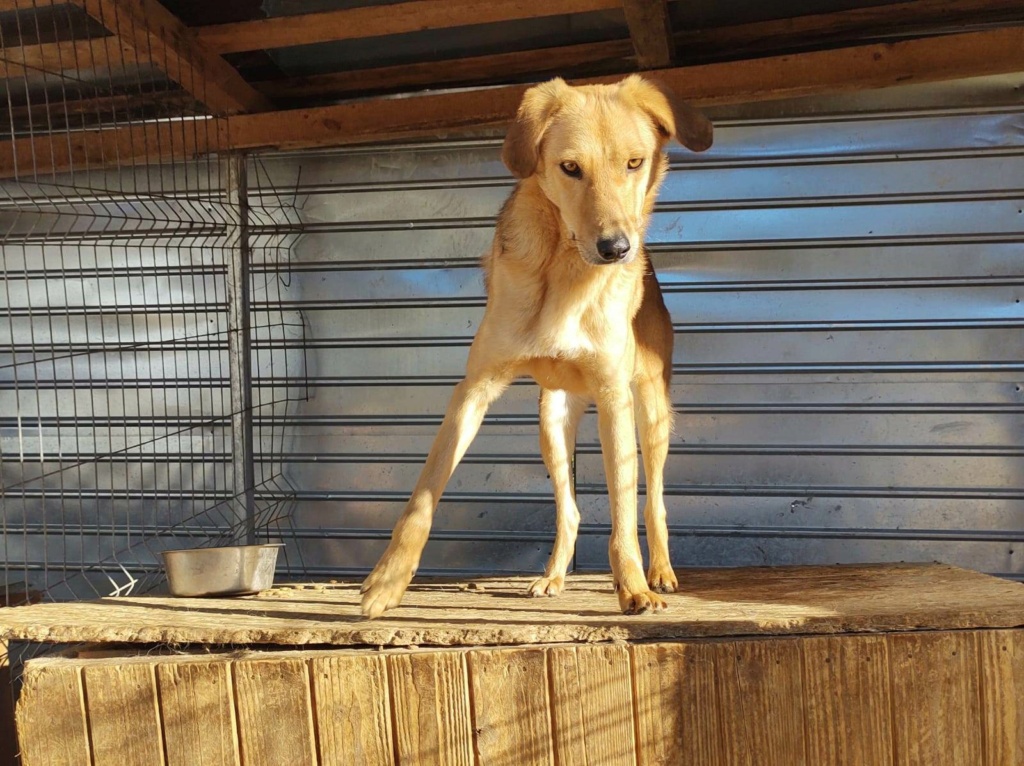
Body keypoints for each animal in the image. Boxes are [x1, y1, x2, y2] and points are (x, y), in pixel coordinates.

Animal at [362, 76, 712, 614]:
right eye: (570, 168)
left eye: (635, 163)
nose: (616, 249)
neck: (565, 269)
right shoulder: (473, 388)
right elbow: (424, 493)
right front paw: (388, 580)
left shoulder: (614, 397)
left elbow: (623, 510)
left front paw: (632, 586)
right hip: (552, 420)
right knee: (569, 509)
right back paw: (553, 577)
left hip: (651, 412)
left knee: (653, 500)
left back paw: (660, 573)